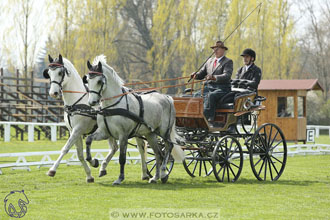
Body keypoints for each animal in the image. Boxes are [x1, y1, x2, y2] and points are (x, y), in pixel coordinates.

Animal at [42, 54, 150, 182]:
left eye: (60, 72)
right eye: (49, 73)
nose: (53, 93)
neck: (76, 102)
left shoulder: (78, 129)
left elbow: (66, 148)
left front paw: (52, 170)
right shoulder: (74, 131)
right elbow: (80, 154)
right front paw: (89, 174)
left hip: (134, 130)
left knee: (141, 147)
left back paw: (145, 173)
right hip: (110, 131)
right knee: (114, 148)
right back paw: (103, 168)